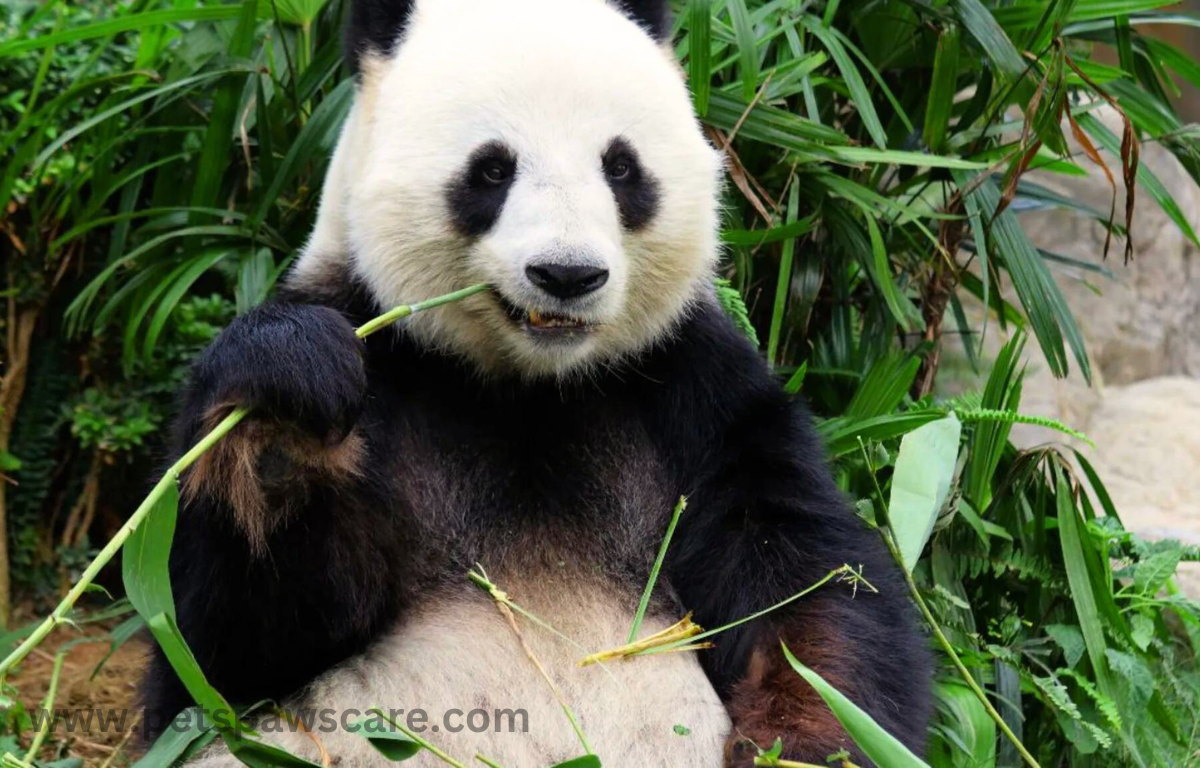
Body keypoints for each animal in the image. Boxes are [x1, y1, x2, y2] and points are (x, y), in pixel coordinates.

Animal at [138, 0, 926, 763]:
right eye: (492, 170)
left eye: (621, 168)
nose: (567, 274)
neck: (530, 385)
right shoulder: (380, 346)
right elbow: (219, 651)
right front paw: (285, 412)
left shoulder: (693, 388)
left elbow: (806, 586)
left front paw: (803, 743)